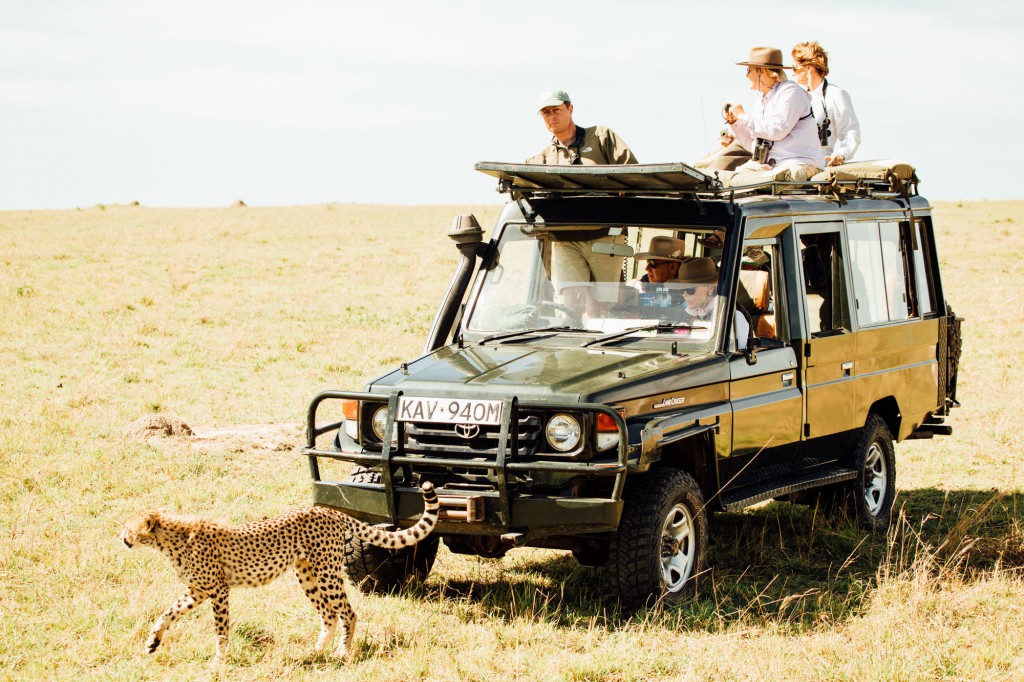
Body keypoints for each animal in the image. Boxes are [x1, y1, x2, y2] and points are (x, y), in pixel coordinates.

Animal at [120, 481, 438, 665]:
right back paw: (316, 652)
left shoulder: (218, 590)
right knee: (329, 614)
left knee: (348, 612)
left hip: (327, 573)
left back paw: (342, 652)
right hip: (307, 574)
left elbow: (220, 628)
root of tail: (328, 511)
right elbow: (167, 612)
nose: (121, 537)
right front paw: (152, 642)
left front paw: (219, 660)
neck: (170, 540)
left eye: (128, 528)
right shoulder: (198, 590)